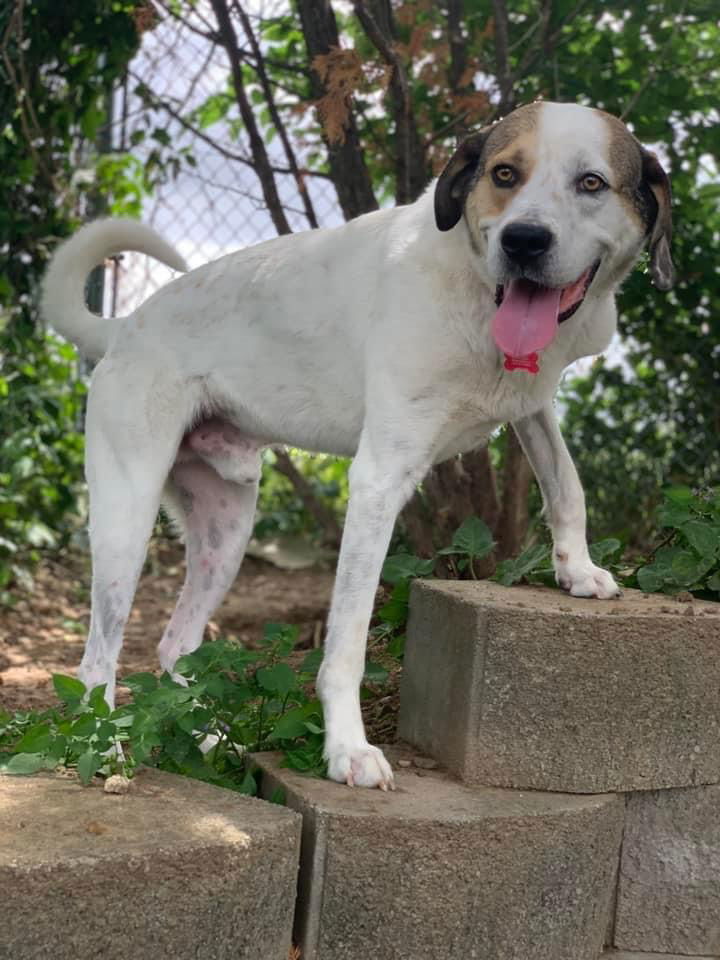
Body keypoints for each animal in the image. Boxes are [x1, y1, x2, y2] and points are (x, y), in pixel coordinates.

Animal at [43, 103, 676, 796]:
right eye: (505, 173)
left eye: (592, 183)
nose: (524, 241)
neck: (475, 285)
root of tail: (122, 328)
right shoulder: (379, 479)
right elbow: (345, 642)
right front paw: (348, 748)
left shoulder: (530, 402)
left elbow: (566, 483)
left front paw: (577, 569)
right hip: (126, 522)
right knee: (97, 659)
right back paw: (105, 750)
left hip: (225, 533)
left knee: (174, 645)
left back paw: (209, 740)